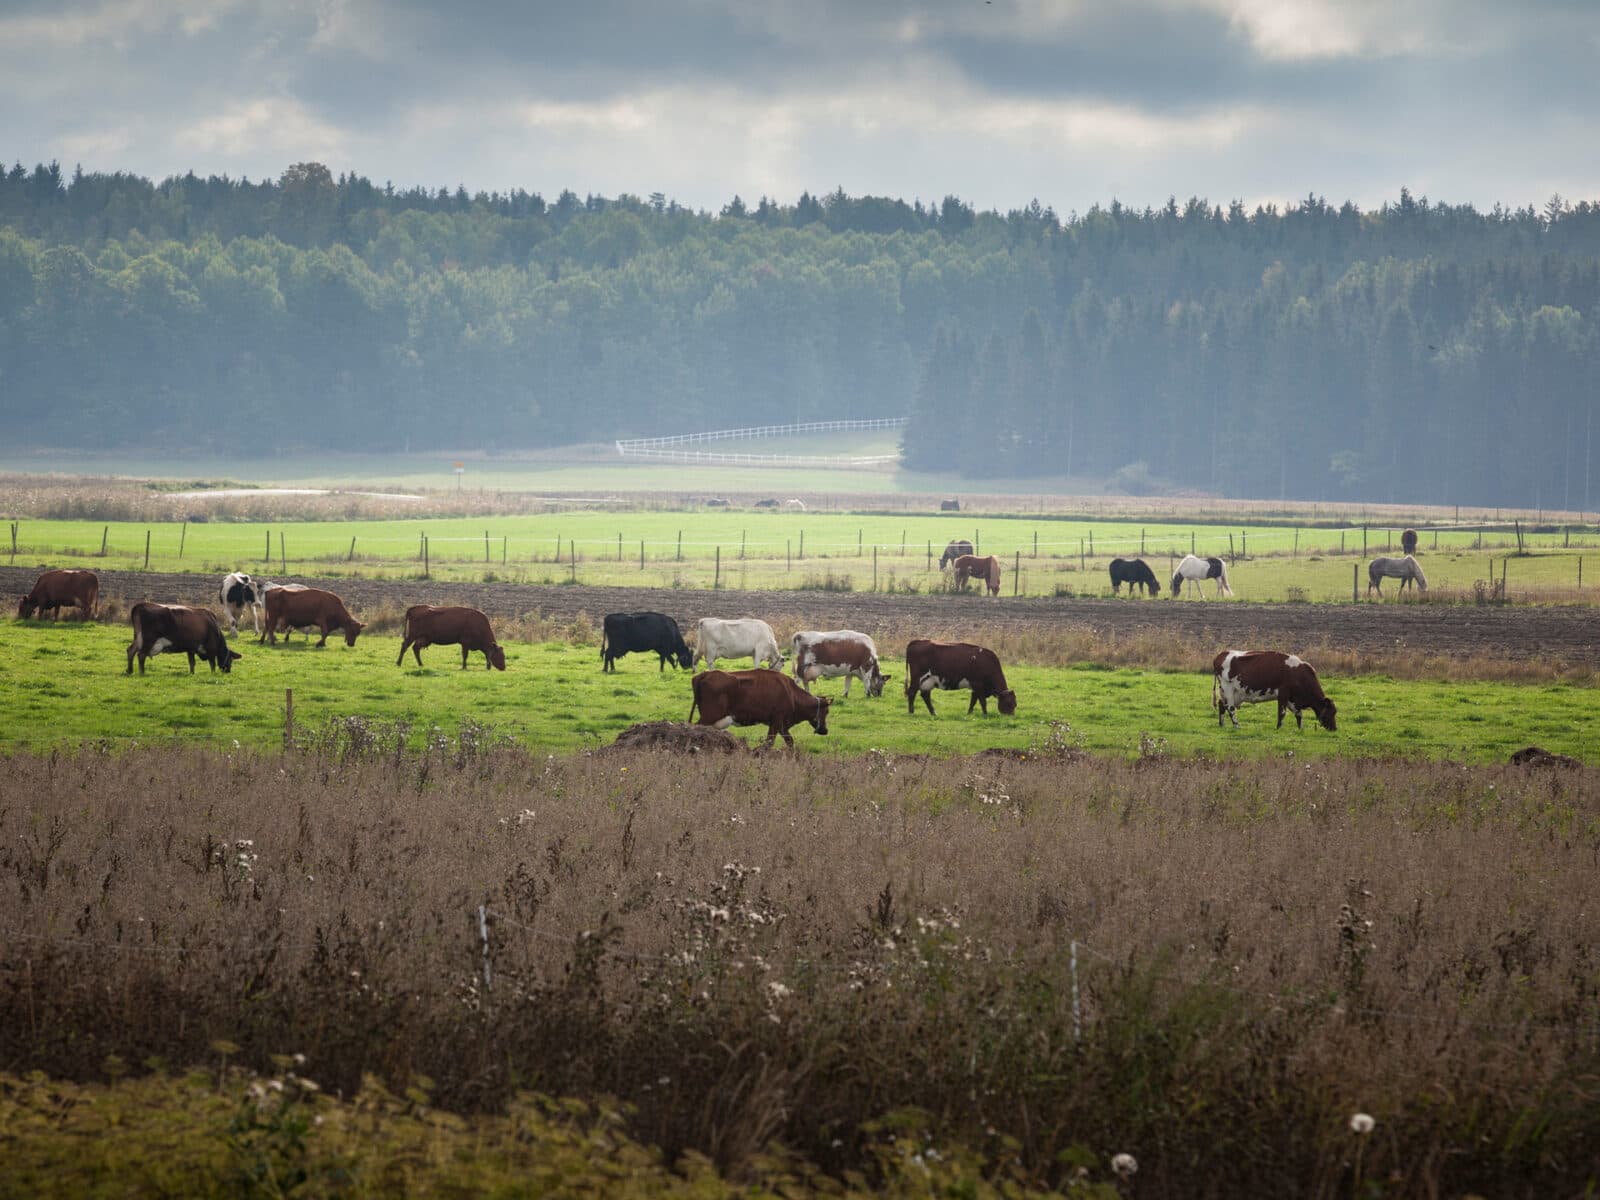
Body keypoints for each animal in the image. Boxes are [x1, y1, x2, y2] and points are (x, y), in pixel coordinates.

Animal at [691, 672, 838, 748]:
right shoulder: (777, 720)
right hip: (709, 715)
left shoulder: (781, 724)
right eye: (826, 712)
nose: (825, 730)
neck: (791, 693)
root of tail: (706, 673)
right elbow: (769, 743)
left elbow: (789, 742)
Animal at [1209, 649, 1337, 732]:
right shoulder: (1283, 693)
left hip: (1230, 692)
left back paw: (1222, 724)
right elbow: (1282, 713)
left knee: (1221, 704)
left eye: (1335, 712)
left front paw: (1301, 729)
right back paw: (1237, 726)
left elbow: (1299, 714)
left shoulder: (1292, 699)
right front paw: (1278, 728)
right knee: (1230, 708)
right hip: (1228, 688)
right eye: (1331, 712)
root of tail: (1221, 654)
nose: (1335, 729)